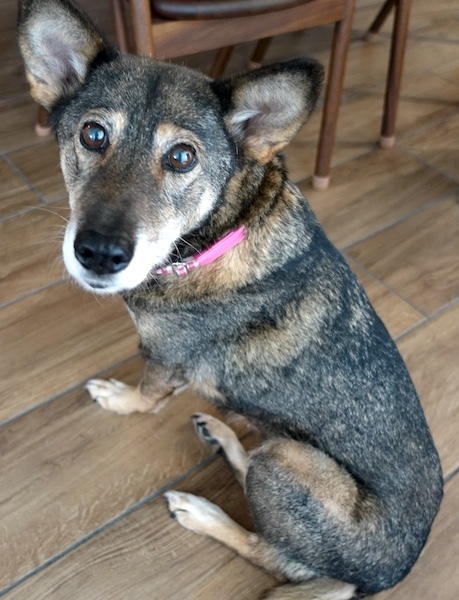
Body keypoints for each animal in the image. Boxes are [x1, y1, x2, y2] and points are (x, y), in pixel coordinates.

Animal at [19, 1, 443, 598]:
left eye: (181, 157)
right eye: (93, 134)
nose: (99, 253)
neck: (217, 235)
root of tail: (382, 579)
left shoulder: (164, 359)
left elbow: (146, 398)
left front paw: (120, 398)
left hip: (287, 463)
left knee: (272, 554)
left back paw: (203, 512)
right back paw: (221, 436)